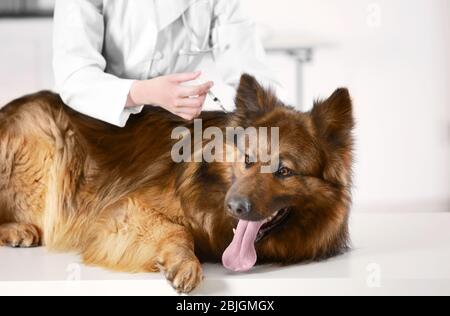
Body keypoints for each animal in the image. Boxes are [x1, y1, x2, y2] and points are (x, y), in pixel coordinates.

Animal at [0, 74, 354, 294]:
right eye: (247, 159)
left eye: (284, 171)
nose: (235, 206)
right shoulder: (124, 212)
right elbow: (177, 229)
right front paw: (184, 263)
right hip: (41, 139)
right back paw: (18, 229)